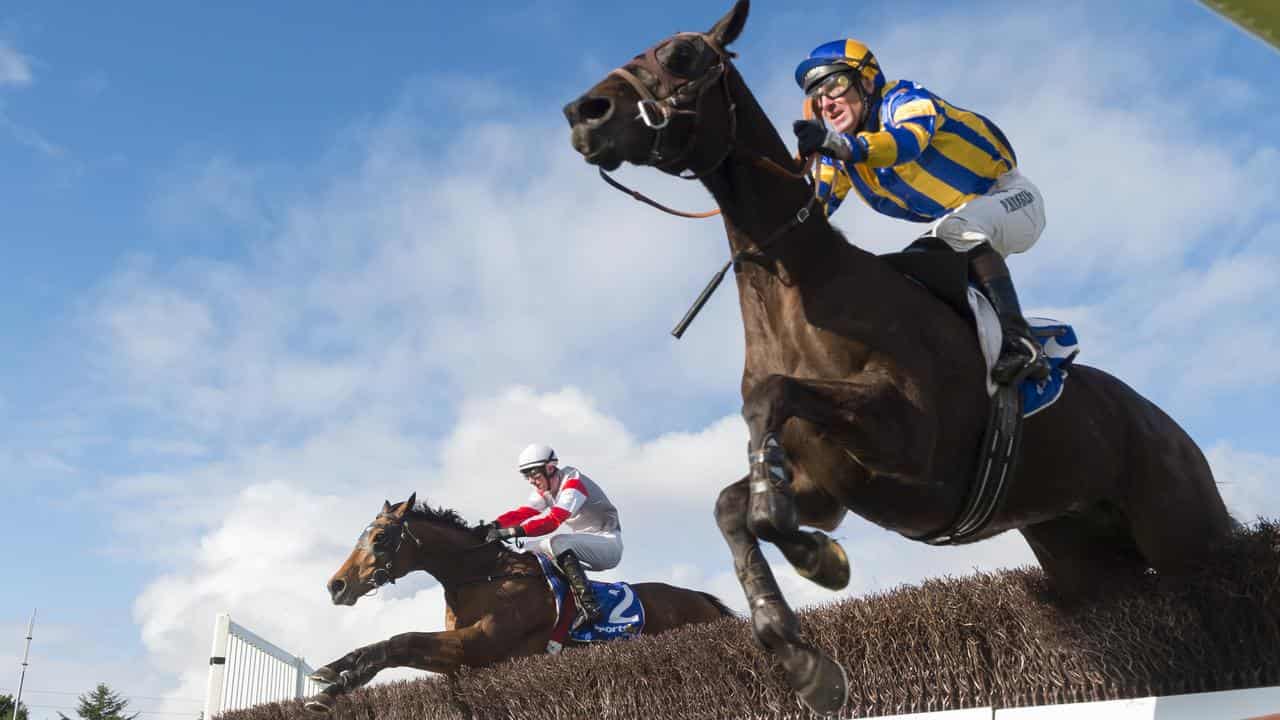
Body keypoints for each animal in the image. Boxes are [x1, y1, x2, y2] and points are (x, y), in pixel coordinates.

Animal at [300, 489, 737, 707]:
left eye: (380, 537)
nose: (336, 585)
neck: (485, 576)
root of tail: (703, 599)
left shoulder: (480, 646)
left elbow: (400, 641)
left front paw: (334, 685)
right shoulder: (461, 662)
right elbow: (396, 647)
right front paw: (334, 674)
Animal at [563, 1, 1239, 712]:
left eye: (684, 55)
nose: (584, 112)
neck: (802, 289)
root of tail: (1163, 422)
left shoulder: (909, 443)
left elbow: (772, 403)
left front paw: (813, 555)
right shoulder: (828, 483)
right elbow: (732, 504)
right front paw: (800, 644)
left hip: (1187, 532)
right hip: (1085, 557)